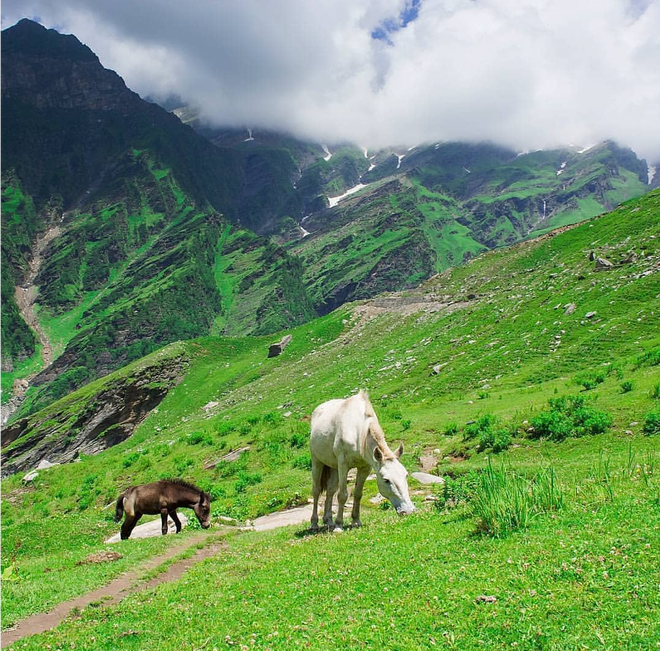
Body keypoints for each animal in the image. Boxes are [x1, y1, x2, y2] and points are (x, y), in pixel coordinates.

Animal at [310, 390, 412, 532]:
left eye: (405, 475)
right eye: (386, 480)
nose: (408, 511)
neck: (357, 431)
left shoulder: (365, 467)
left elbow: (358, 494)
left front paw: (356, 521)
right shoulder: (343, 465)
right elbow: (342, 495)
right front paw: (339, 525)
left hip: (333, 467)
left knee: (330, 490)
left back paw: (329, 521)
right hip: (317, 462)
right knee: (316, 490)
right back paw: (314, 524)